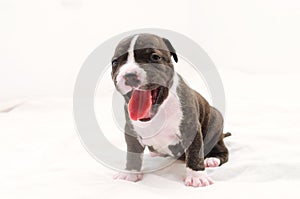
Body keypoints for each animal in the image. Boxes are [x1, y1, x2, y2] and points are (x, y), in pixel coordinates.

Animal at [110, 33, 230, 187]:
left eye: (155, 57)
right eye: (115, 62)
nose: (129, 75)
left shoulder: (191, 129)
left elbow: (195, 152)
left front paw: (196, 176)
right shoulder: (131, 132)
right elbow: (132, 153)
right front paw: (130, 173)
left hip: (215, 125)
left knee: (222, 150)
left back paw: (212, 159)